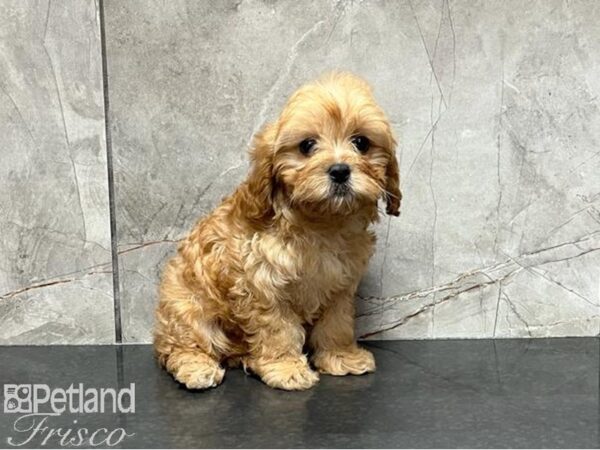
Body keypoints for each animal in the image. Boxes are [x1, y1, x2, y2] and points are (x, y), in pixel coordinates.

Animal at [152, 72, 400, 388]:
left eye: (361, 142)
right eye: (307, 145)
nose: (340, 170)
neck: (321, 223)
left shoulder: (341, 284)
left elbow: (336, 323)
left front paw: (341, 356)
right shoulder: (263, 285)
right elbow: (278, 329)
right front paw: (285, 367)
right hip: (187, 308)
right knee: (181, 345)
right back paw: (196, 366)